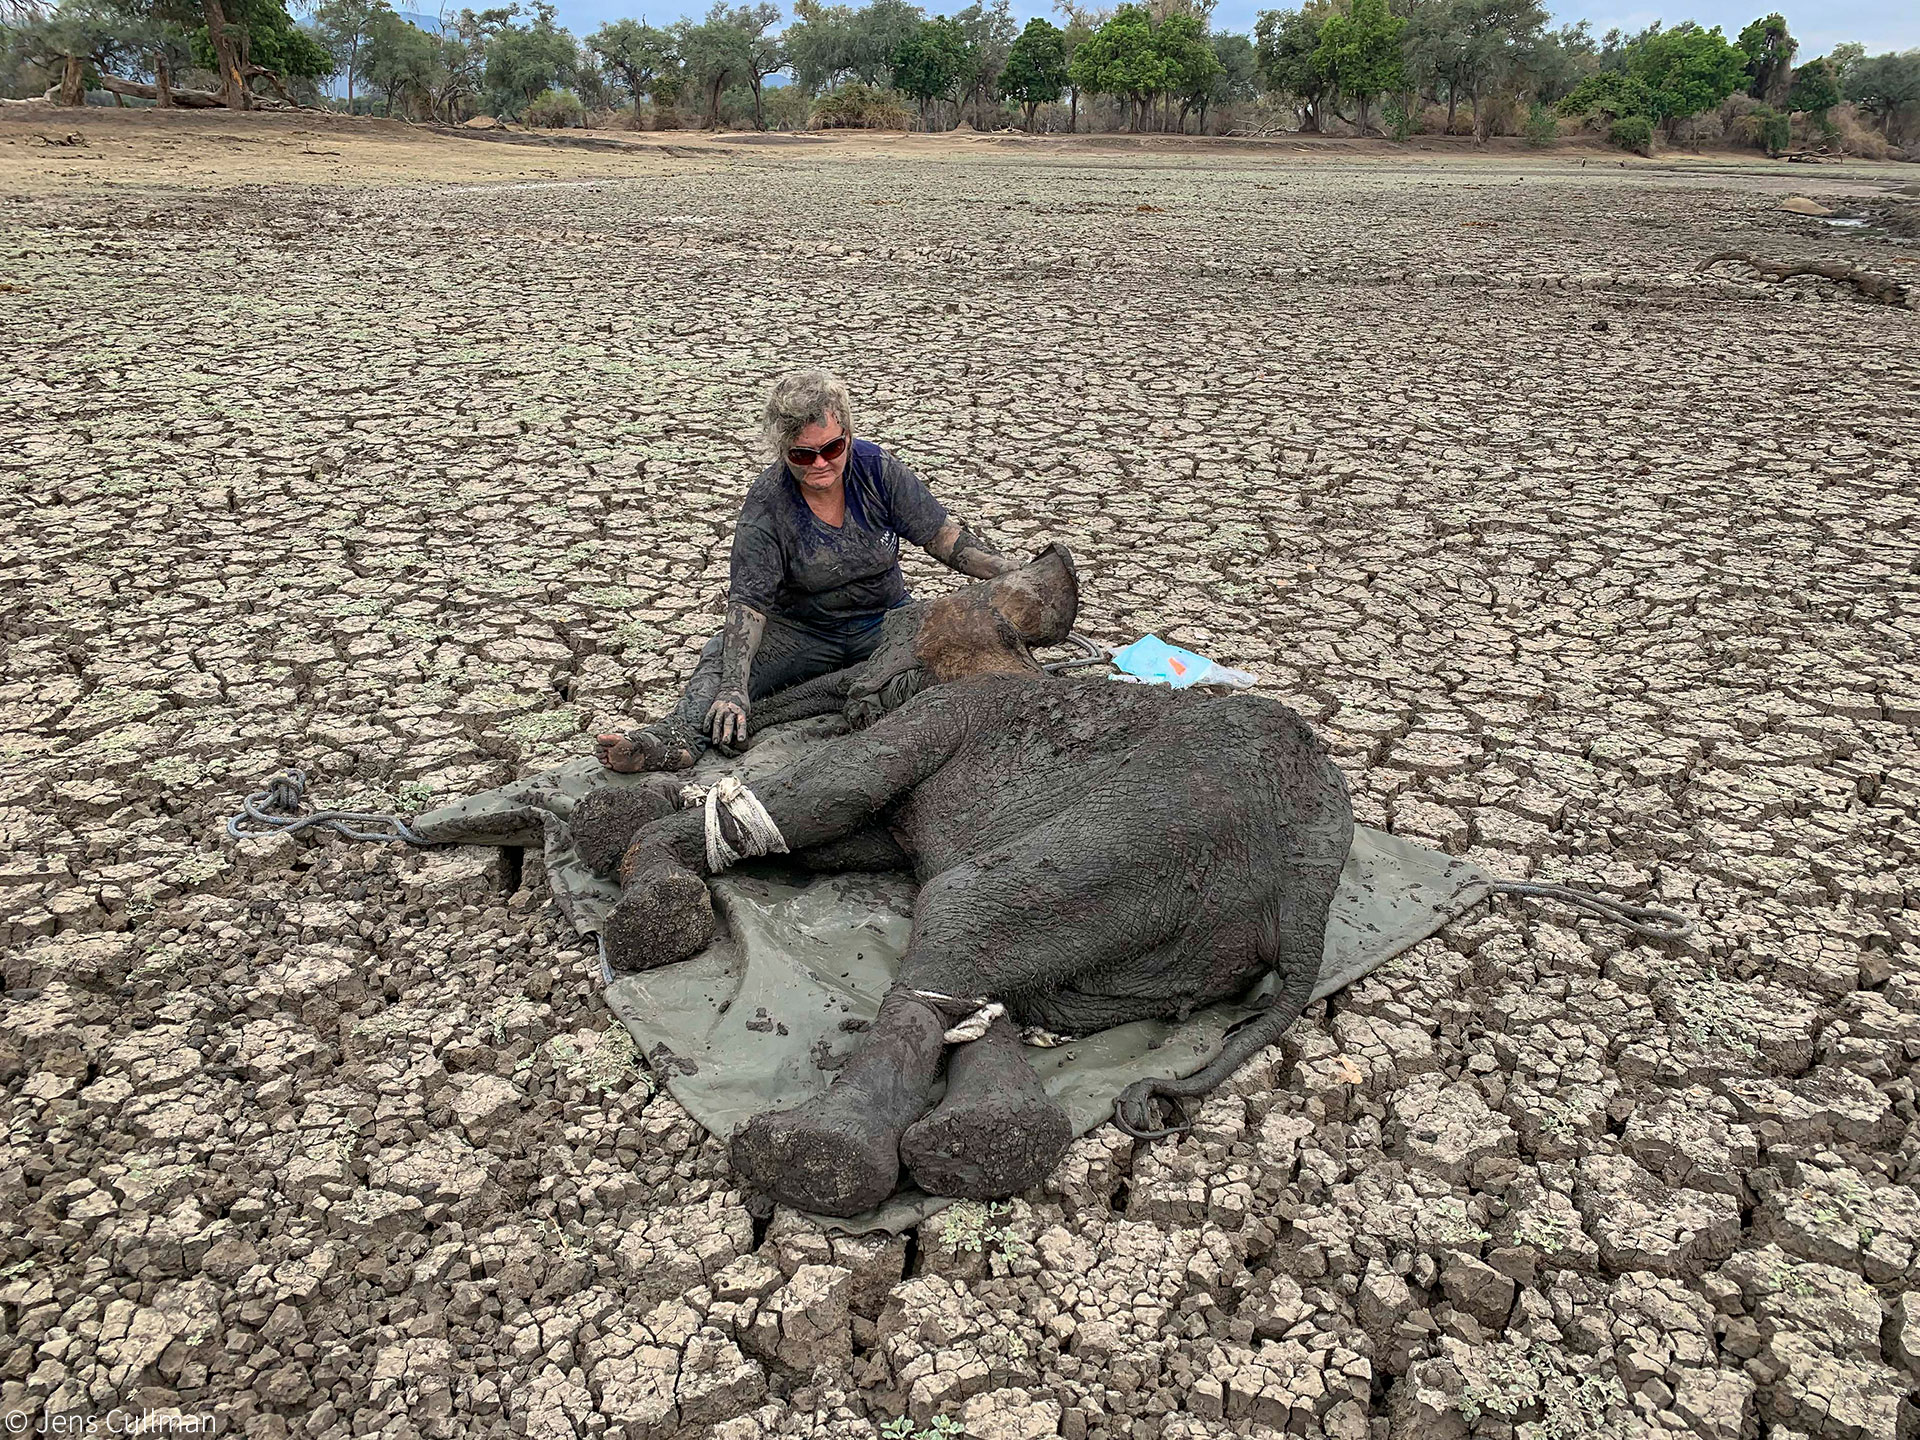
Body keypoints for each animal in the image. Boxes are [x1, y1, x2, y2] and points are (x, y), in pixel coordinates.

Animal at [576, 552, 1359, 1221]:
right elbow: (826, 832)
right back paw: (988, 1139)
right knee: (1005, 979)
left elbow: (829, 791)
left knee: (956, 913)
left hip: (1153, 828)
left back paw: (821, 1153)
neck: (1004, 650)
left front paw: (635, 869)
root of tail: (1308, 890)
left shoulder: (939, 717)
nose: (726, 731)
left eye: (884, 636)